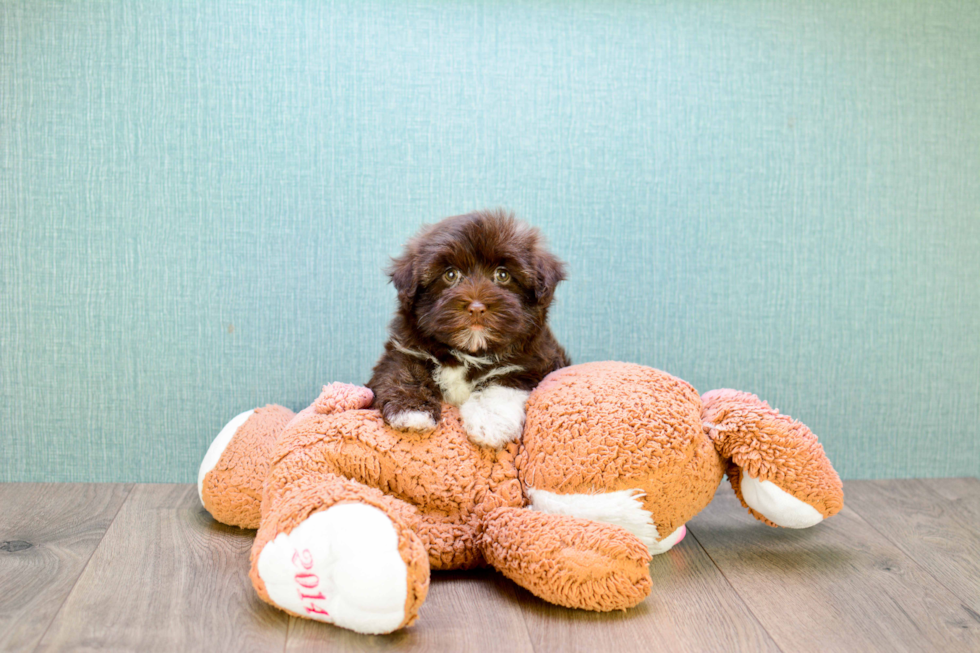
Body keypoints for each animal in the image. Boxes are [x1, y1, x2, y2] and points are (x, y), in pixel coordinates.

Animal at [366, 211, 568, 446]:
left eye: (503, 275)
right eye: (451, 275)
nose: (477, 308)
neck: (467, 352)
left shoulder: (533, 364)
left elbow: (501, 384)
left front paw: (490, 423)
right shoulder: (404, 348)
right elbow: (403, 370)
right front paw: (410, 410)